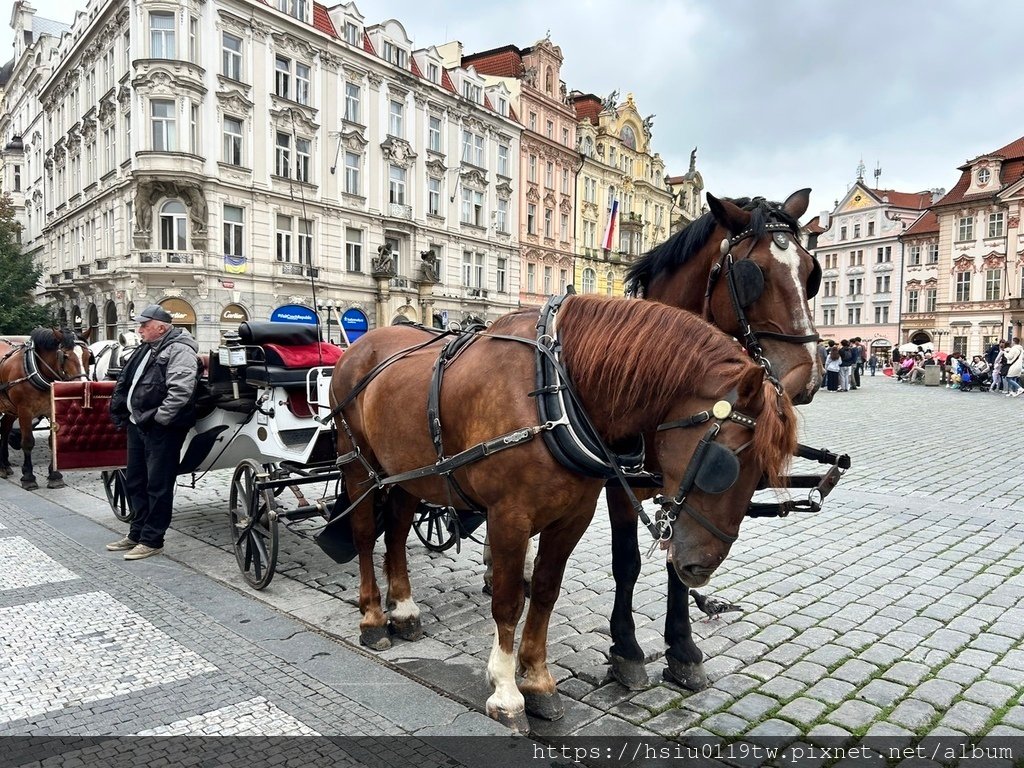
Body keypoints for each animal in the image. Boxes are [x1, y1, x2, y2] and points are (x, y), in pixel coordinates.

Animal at [0, 327, 91, 489]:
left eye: (88, 356)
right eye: (65, 356)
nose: (81, 386)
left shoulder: (51, 409)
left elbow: (52, 442)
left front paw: (55, 476)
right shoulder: (24, 411)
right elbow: (28, 442)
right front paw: (28, 477)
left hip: (10, 408)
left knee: (4, 428)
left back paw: (5, 465)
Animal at [331, 296, 794, 733]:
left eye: (762, 475)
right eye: (725, 463)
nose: (700, 567)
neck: (551, 391)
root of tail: (361, 345)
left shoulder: (573, 517)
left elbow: (545, 592)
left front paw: (537, 681)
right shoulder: (509, 518)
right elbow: (508, 602)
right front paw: (506, 692)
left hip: (407, 474)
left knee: (395, 532)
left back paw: (404, 609)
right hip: (356, 465)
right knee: (364, 534)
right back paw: (373, 618)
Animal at [606, 188, 823, 692]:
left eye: (810, 272)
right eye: (751, 274)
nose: (807, 377)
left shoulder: (683, 484)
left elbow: (677, 561)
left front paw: (682, 649)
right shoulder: (619, 484)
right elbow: (628, 561)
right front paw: (626, 648)